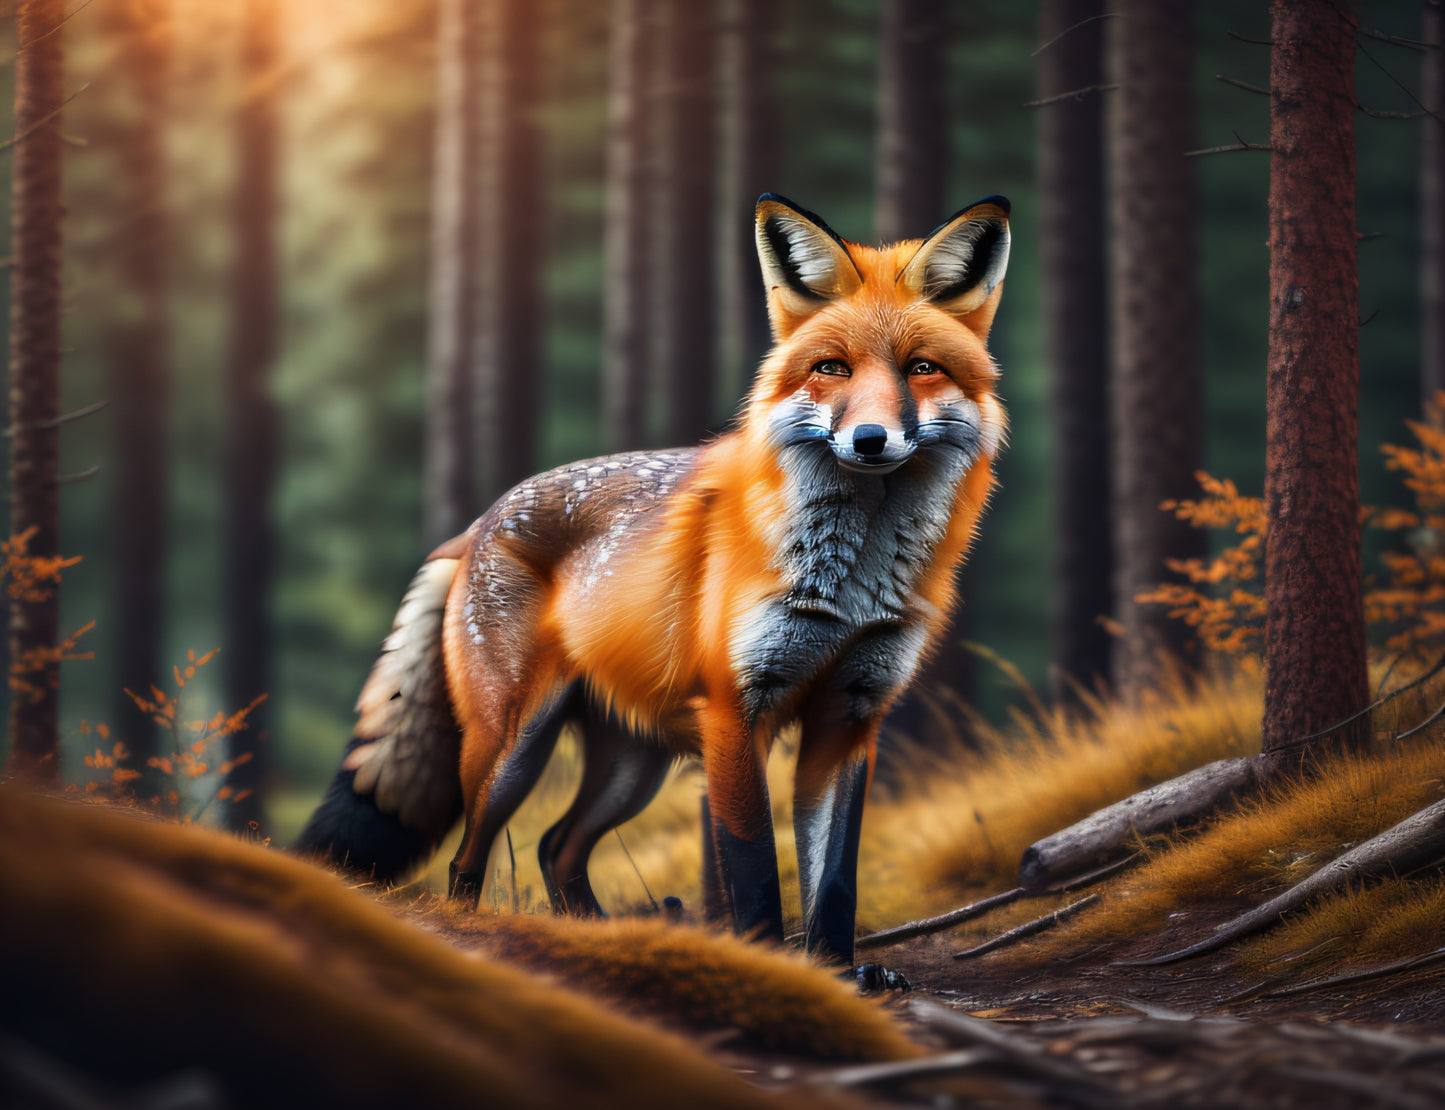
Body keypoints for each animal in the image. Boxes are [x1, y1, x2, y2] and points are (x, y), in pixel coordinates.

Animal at [296, 193, 1010, 976]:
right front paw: (767, 967)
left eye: (921, 369)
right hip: (512, 748)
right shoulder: (736, 712)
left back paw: (605, 941)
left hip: (632, 768)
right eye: (832, 368)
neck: (849, 587)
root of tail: (480, 519)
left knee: (556, 847)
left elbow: (834, 881)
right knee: (468, 860)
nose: (871, 440)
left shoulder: (851, 716)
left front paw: (836, 974)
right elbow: (754, 871)